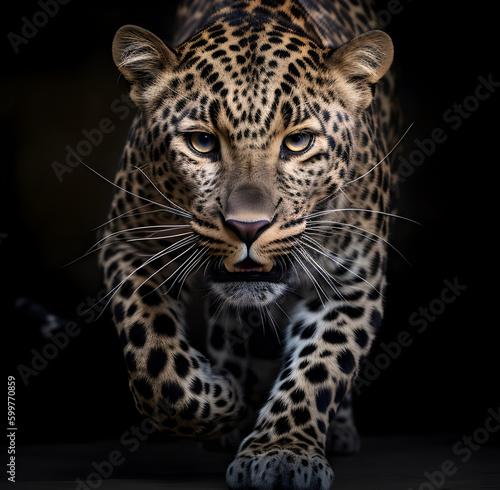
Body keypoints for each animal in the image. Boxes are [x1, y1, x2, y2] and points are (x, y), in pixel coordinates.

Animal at [99, 0, 404, 486]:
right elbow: (155, 362)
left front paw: (281, 453)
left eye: (298, 142)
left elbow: (321, 369)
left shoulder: (353, 283)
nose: (247, 227)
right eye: (202, 142)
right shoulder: (129, 245)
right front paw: (222, 397)